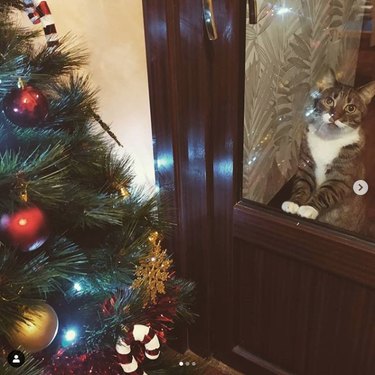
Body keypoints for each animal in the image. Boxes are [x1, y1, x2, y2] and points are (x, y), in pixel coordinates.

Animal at [282, 70, 375, 232]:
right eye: (329, 101)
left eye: (351, 108)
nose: (334, 116)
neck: (328, 139)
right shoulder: (306, 163)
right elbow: (302, 184)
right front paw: (294, 203)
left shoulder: (342, 175)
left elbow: (327, 191)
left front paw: (309, 208)